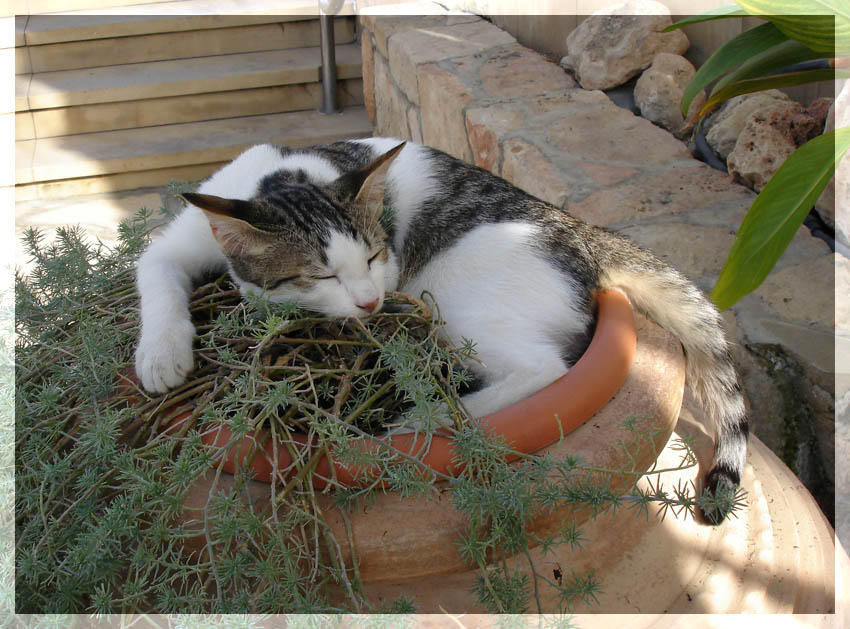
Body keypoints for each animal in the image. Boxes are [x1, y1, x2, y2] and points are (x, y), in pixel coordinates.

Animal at [134, 137, 748, 520]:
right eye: (321, 274)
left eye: (376, 255)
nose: (371, 300)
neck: (285, 177)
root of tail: (584, 235)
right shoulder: (181, 241)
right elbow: (154, 267)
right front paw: (162, 354)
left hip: (455, 301)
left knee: (543, 368)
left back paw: (418, 421)